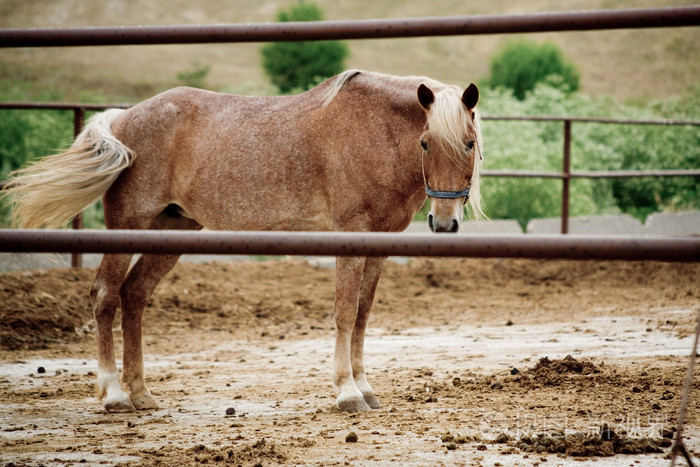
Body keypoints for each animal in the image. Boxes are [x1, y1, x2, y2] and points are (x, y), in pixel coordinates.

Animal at [3, 70, 483, 413]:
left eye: (469, 142)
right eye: (426, 142)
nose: (444, 224)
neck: (373, 132)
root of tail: (122, 117)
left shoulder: (379, 244)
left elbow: (363, 316)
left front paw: (365, 388)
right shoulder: (349, 237)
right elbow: (346, 313)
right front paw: (347, 393)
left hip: (172, 231)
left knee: (134, 296)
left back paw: (141, 394)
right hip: (128, 227)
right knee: (105, 295)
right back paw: (114, 395)